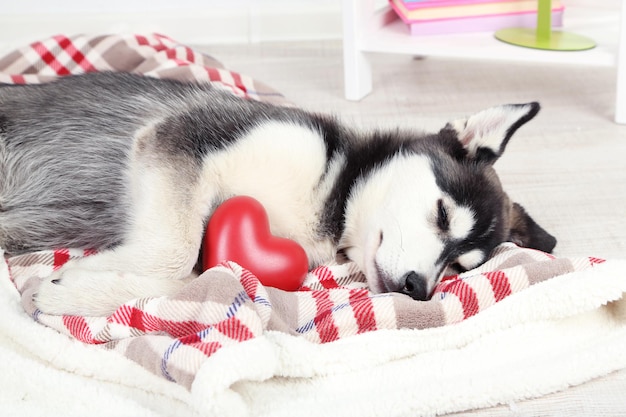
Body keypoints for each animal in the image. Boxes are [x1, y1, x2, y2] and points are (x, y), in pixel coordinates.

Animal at [0, 72, 556, 316]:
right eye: (442, 215)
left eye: (459, 267)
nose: (418, 288)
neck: (328, 199)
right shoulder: (181, 137)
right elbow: (176, 253)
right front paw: (86, 276)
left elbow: (187, 275)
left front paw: (83, 287)